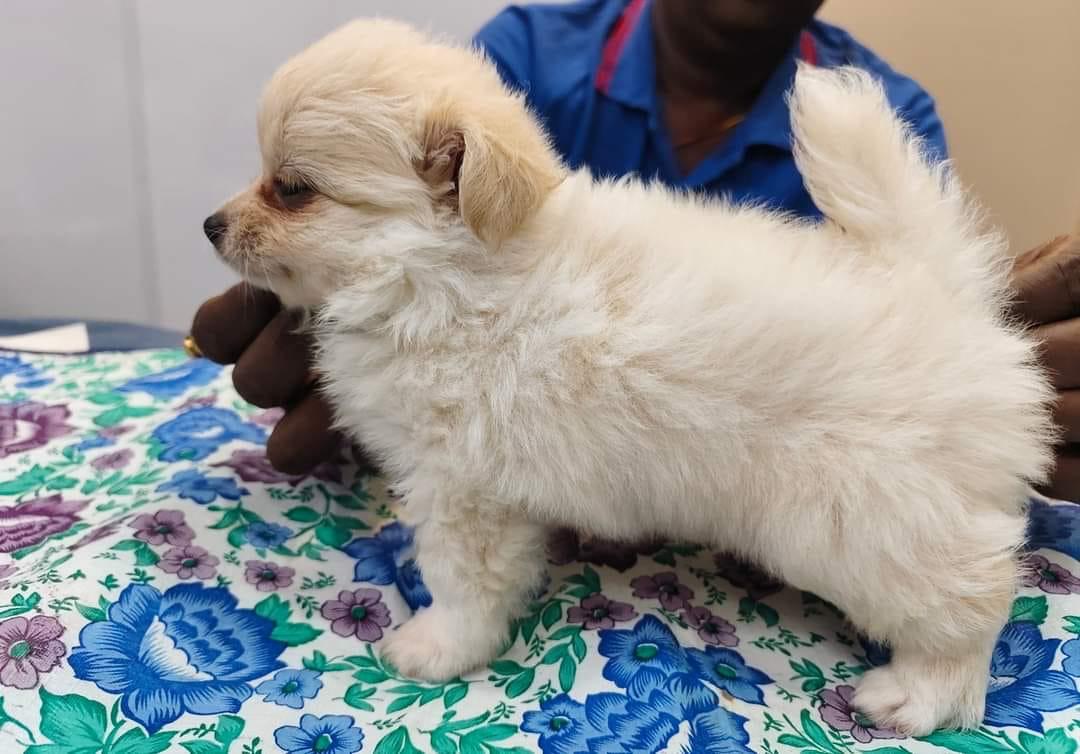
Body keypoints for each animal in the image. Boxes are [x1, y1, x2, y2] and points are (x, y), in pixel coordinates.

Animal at [203, 20, 1054, 730]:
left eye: (292, 188)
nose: (211, 223)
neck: (438, 269)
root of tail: (941, 286)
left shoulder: (464, 488)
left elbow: (463, 582)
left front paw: (435, 648)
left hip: (878, 520)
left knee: (972, 601)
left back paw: (918, 695)